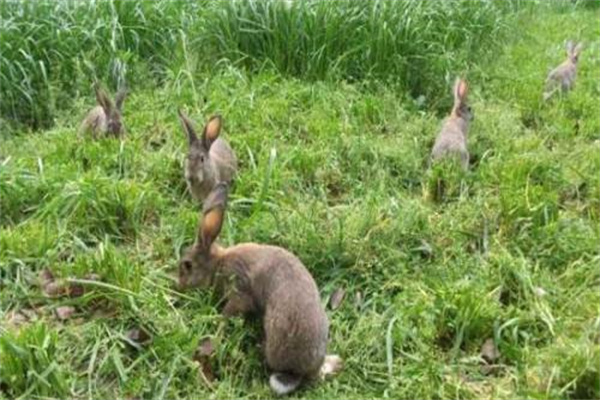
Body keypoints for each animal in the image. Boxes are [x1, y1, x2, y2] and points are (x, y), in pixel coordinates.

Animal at [178, 183, 342, 396]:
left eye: (188, 265)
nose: (178, 284)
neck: (218, 263)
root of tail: (300, 373)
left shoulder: (238, 290)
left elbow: (230, 310)